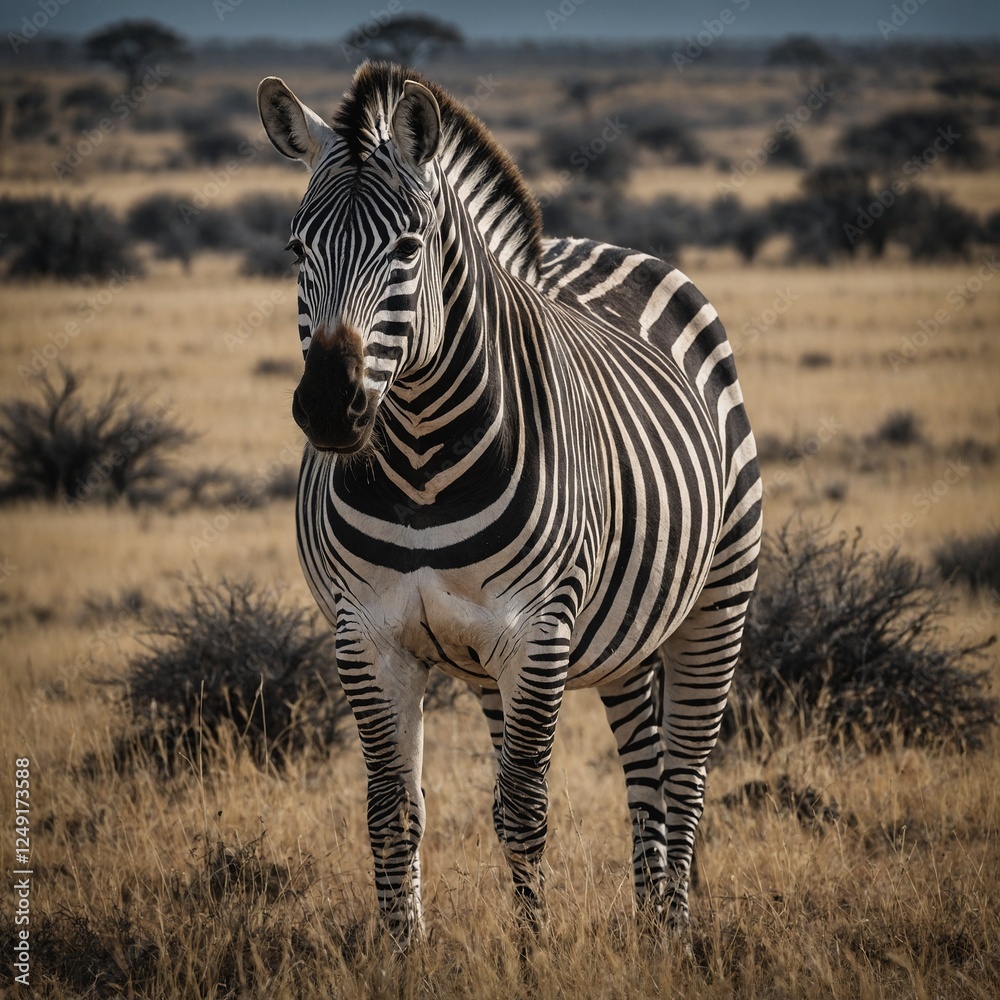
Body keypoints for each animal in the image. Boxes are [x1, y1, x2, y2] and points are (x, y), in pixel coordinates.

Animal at [256, 62, 762, 948]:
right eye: (296, 248)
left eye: (407, 248)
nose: (328, 409)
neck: (420, 463)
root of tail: (596, 246)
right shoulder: (367, 634)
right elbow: (393, 811)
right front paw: (403, 952)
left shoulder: (538, 632)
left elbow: (523, 811)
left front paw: (533, 953)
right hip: (589, 644)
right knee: (644, 772)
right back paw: (646, 920)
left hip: (716, 597)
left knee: (686, 774)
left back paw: (672, 930)